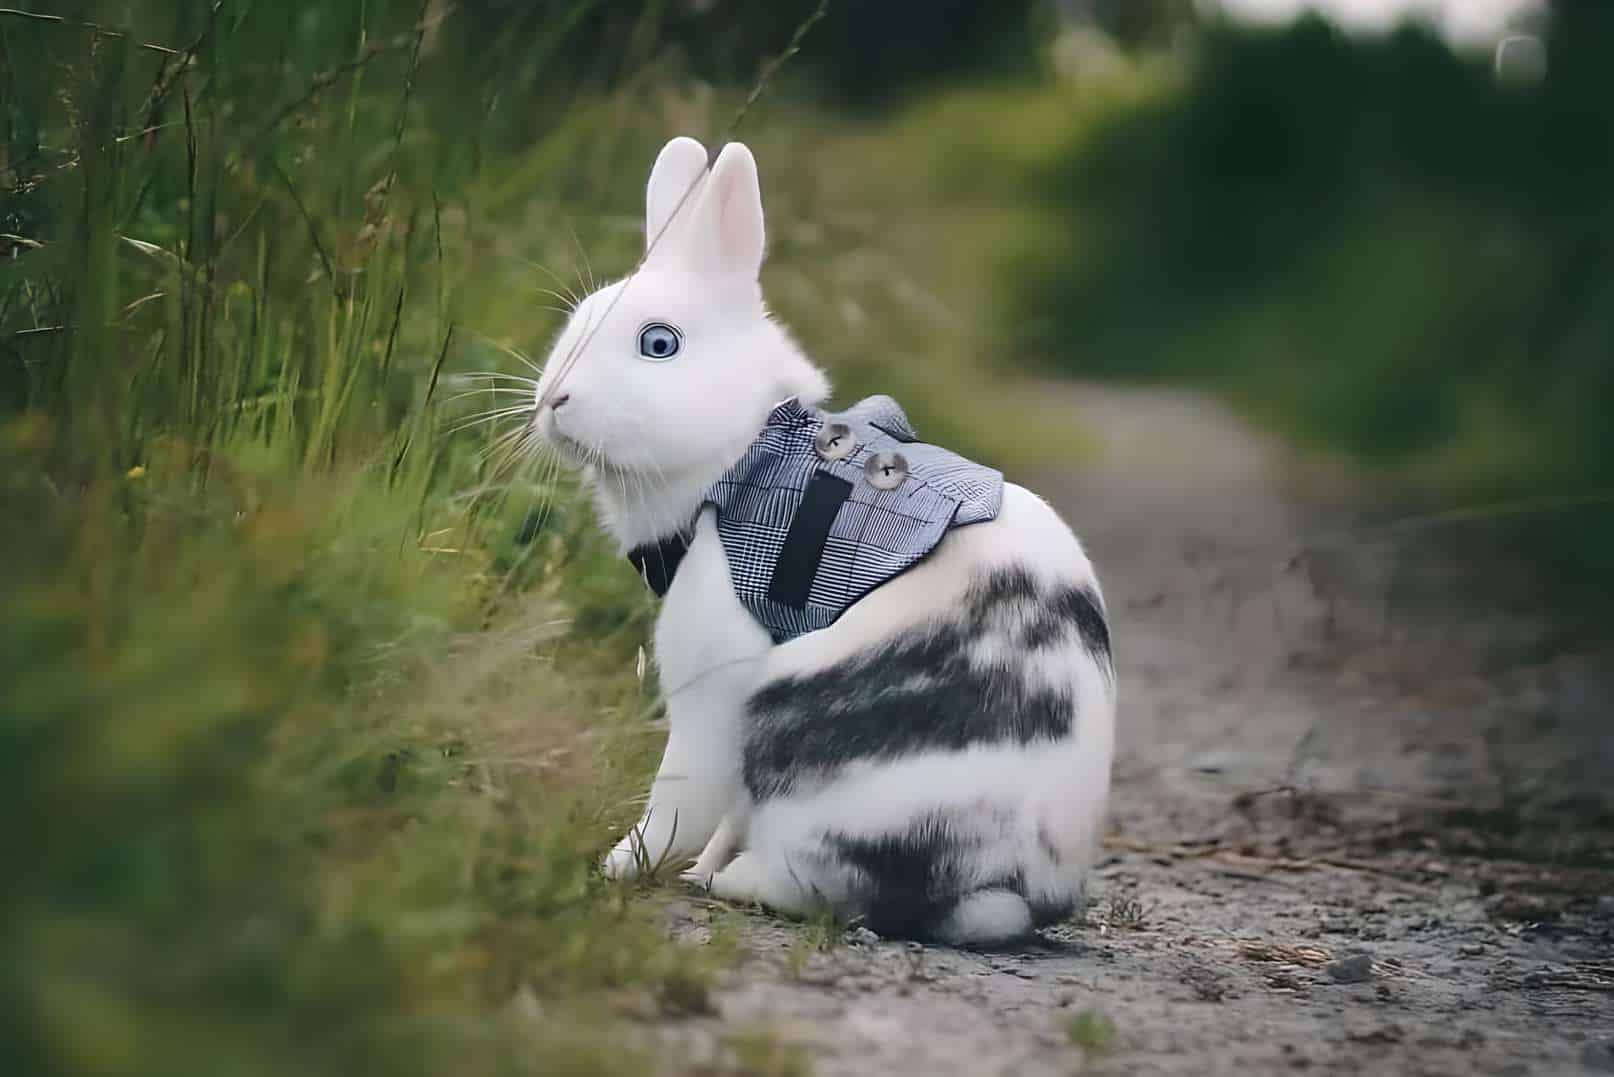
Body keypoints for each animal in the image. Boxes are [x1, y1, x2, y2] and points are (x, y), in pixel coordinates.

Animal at [529, 134, 1110, 942]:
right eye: (579, 317)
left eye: (658, 343)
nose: (553, 399)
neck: (742, 456)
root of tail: (1012, 891)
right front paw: (686, 866)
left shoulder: (718, 672)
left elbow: (680, 795)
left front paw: (617, 867)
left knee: (813, 882)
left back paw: (733, 883)